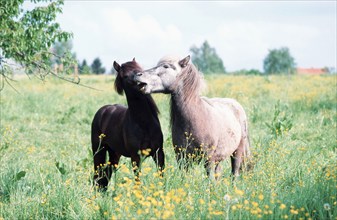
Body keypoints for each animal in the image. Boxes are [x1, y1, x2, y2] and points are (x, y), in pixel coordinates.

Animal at [90, 59, 164, 190]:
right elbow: (137, 179)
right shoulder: (136, 157)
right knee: (98, 173)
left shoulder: (159, 153)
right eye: (125, 76)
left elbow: (161, 175)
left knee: (107, 172)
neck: (144, 125)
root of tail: (103, 111)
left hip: (115, 153)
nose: (141, 82)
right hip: (98, 150)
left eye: (140, 70)